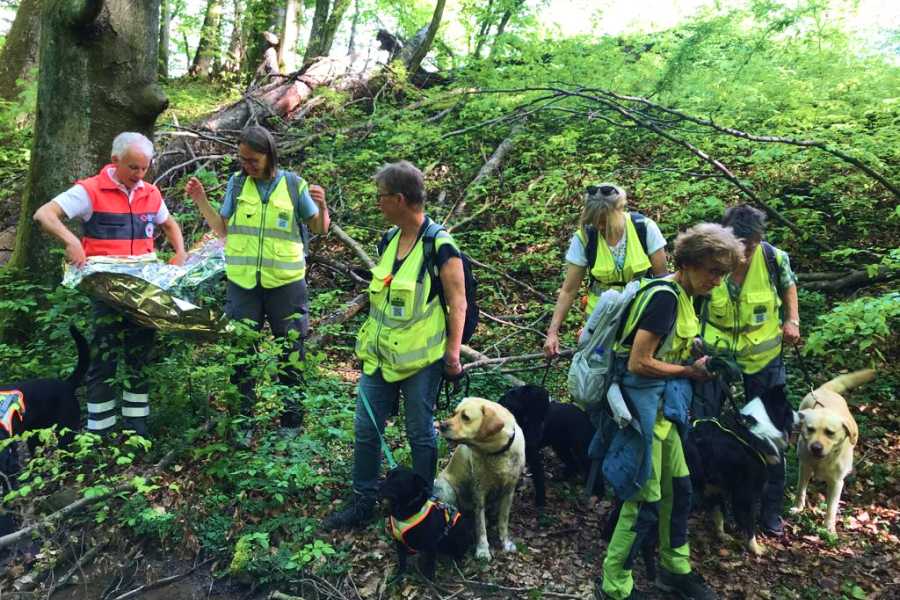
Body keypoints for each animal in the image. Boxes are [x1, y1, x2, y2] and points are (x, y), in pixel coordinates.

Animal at [432, 396, 524, 560]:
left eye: (465, 417)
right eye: (454, 413)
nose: (441, 426)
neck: (497, 453)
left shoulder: (509, 490)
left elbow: (503, 520)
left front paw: (505, 542)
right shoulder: (479, 491)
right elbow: (480, 527)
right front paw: (482, 550)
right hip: (447, 489)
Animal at [792, 368, 876, 532]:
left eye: (830, 432)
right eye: (810, 429)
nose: (815, 447)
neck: (823, 460)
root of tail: (825, 390)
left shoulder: (837, 482)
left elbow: (832, 507)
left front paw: (829, 527)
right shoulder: (804, 468)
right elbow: (800, 490)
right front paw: (798, 508)